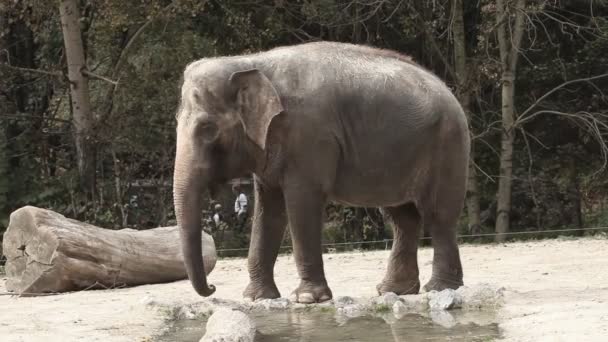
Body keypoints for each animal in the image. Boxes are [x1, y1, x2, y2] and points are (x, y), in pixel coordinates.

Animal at [173, 41, 468, 304]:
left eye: (207, 129)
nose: (212, 288)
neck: (251, 62)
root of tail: (450, 91)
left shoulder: (310, 135)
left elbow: (301, 202)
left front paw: (307, 299)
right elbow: (269, 209)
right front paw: (256, 298)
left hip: (447, 145)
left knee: (437, 216)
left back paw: (439, 289)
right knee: (403, 218)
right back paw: (393, 291)